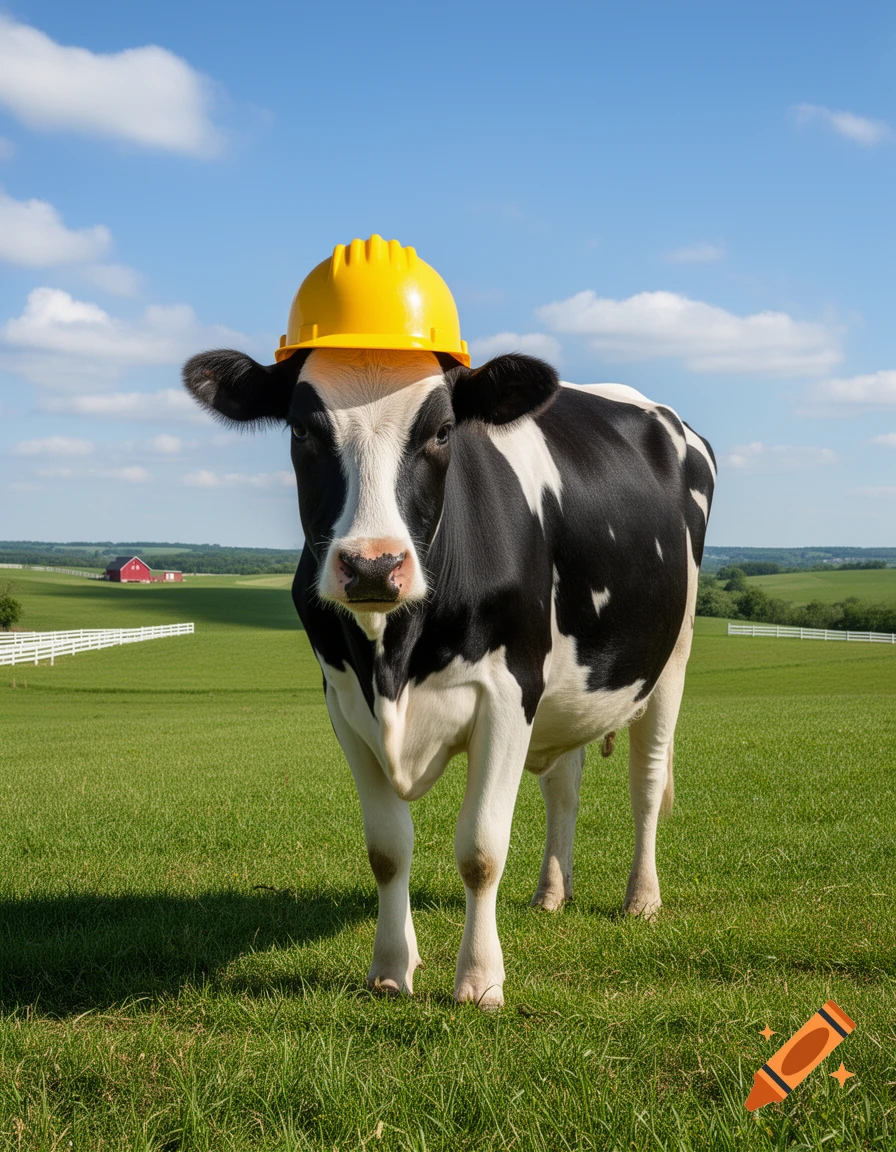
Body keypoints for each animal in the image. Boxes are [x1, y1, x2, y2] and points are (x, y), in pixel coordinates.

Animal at [183, 346, 715, 1007]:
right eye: (301, 430)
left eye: (441, 432)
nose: (373, 566)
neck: (392, 663)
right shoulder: (345, 703)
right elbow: (387, 849)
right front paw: (391, 968)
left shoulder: (510, 694)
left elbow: (481, 850)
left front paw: (480, 982)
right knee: (564, 785)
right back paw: (551, 893)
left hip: (671, 659)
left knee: (646, 783)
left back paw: (641, 899)